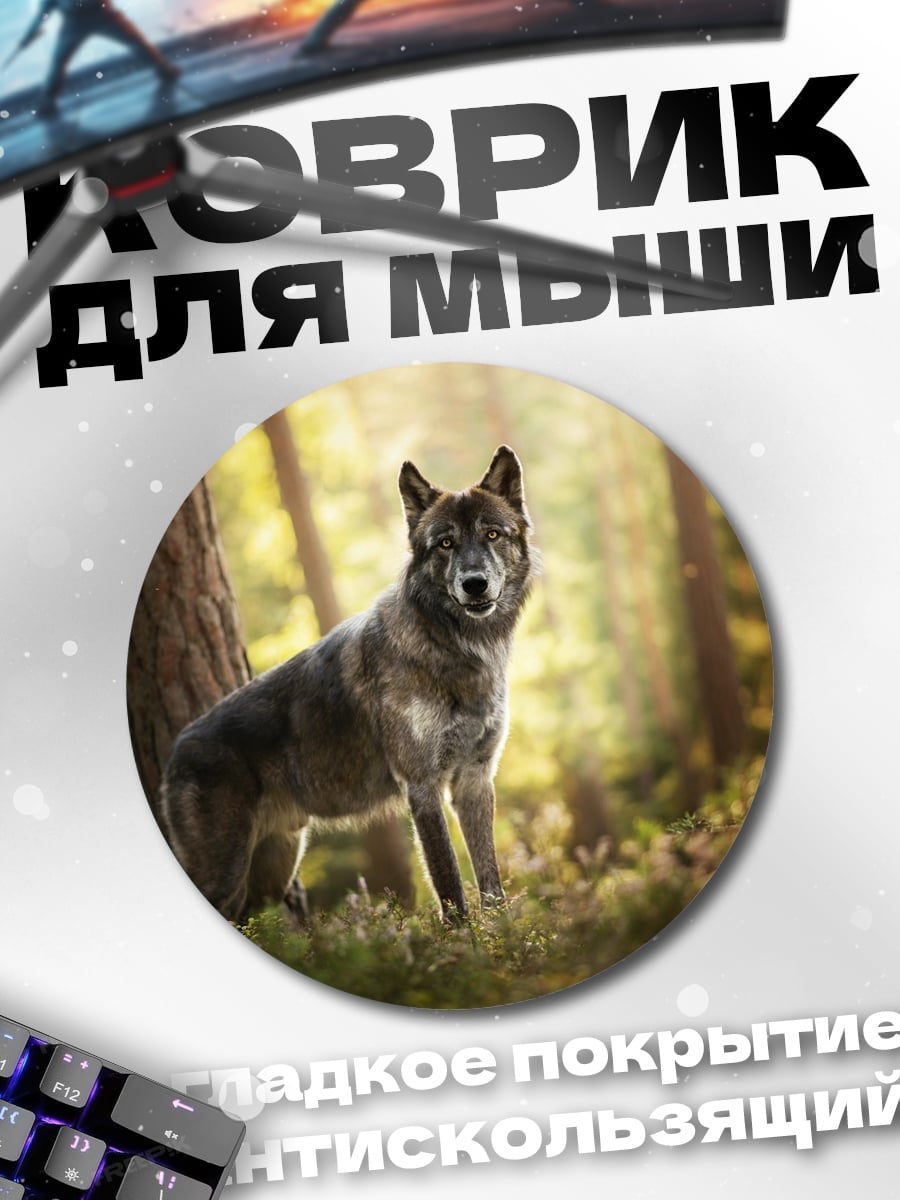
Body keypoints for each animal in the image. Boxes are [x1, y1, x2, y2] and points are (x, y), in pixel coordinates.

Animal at [158, 445, 535, 925]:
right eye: (446, 543)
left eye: (492, 534)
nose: (474, 584)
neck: (453, 646)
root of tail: (175, 749)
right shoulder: (422, 787)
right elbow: (451, 889)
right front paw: (467, 945)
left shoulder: (474, 782)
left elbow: (491, 885)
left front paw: (504, 939)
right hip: (227, 873)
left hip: (269, 874)